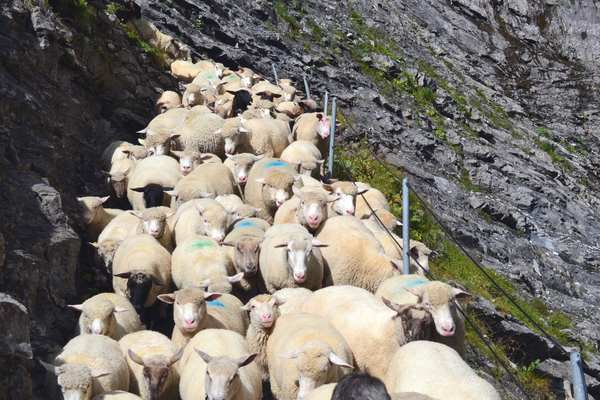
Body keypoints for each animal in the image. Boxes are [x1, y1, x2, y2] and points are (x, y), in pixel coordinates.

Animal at [302, 286, 434, 380]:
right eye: (404, 319)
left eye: (426, 322)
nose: (414, 337)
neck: (392, 331)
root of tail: (322, 290)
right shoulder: (381, 371)